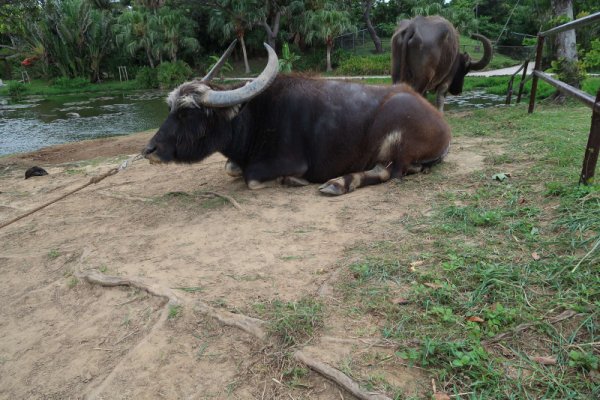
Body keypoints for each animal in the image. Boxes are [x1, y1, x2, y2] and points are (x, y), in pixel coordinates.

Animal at [142, 41, 450, 195]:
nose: (149, 149)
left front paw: (291, 181)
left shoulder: (287, 163)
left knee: (390, 172)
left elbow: (251, 178)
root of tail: (441, 124)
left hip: (397, 143)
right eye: (170, 108)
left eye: (186, 113)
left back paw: (338, 183)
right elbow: (231, 168)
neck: (256, 116)